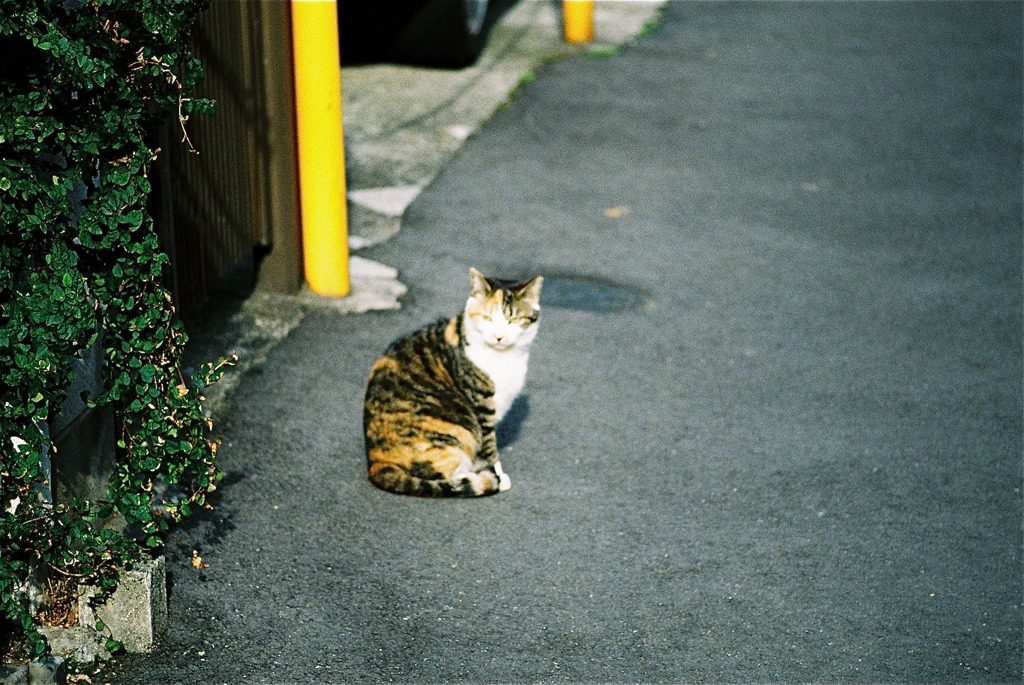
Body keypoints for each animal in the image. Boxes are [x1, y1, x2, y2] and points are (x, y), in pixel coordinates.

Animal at [368, 266, 544, 497]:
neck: (504, 357)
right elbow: (490, 447)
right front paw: (499, 475)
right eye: (487, 318)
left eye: (513, 320)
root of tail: (375, 462)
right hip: (453, 430)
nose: (499, 337)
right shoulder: (481, 408)